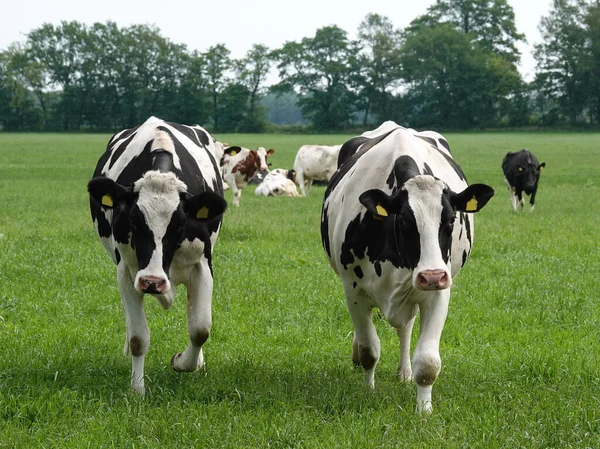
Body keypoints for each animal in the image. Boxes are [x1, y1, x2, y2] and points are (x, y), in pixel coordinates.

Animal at [84, 115, 225, 392]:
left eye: (180, 224)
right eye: (133, 221)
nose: (153, 282)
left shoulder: (203, 264)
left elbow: (200, 328)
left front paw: (184, 362)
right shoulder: (127, 272)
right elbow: (139, 337)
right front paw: (137, 390)